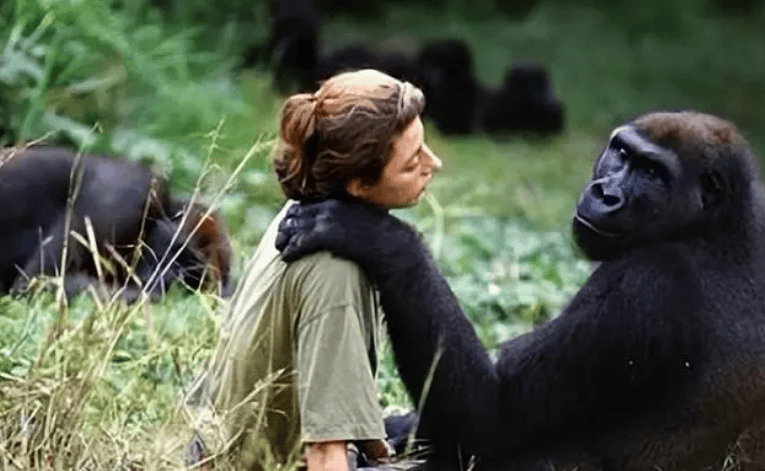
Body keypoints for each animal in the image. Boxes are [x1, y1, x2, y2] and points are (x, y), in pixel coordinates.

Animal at [276, 112, 765, 470]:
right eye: (621, 153)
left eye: (651, 172)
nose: (604, 193)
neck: (714, 226)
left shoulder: (644, 282)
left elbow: (489, 420)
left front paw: (376, 236)